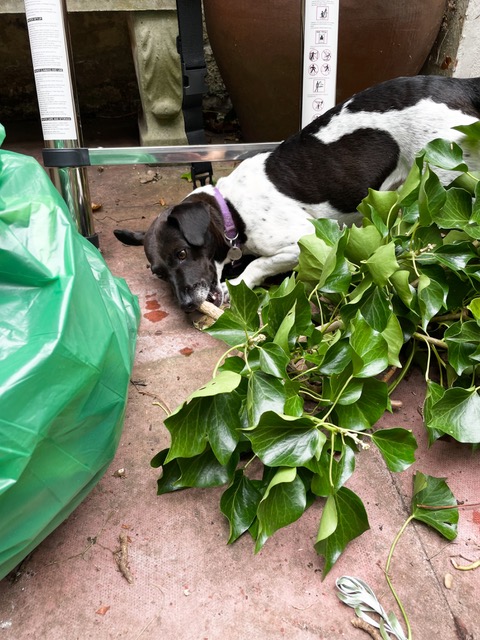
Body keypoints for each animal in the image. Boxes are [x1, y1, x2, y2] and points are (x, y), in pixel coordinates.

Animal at [113, 75, 480, 312]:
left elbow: (259, 263)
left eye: (182, 254)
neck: (232, 208)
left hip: (443, 181)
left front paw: (238, 283)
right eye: (159, 273)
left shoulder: (305, 239)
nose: (188, 306)